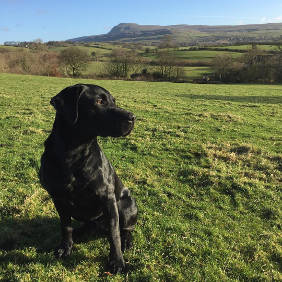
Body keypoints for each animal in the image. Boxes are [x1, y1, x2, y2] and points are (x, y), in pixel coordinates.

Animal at [39, 83, 137, 274]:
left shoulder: (108, 200)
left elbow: (114, 235)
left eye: (114, 101)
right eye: (99, 101)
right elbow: (65, 226)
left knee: (125, 228)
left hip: (126, 205)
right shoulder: (58, 198)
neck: (73, 154)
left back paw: (126, 241)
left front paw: (117, 261)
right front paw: (65, 247)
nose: (133, 117)